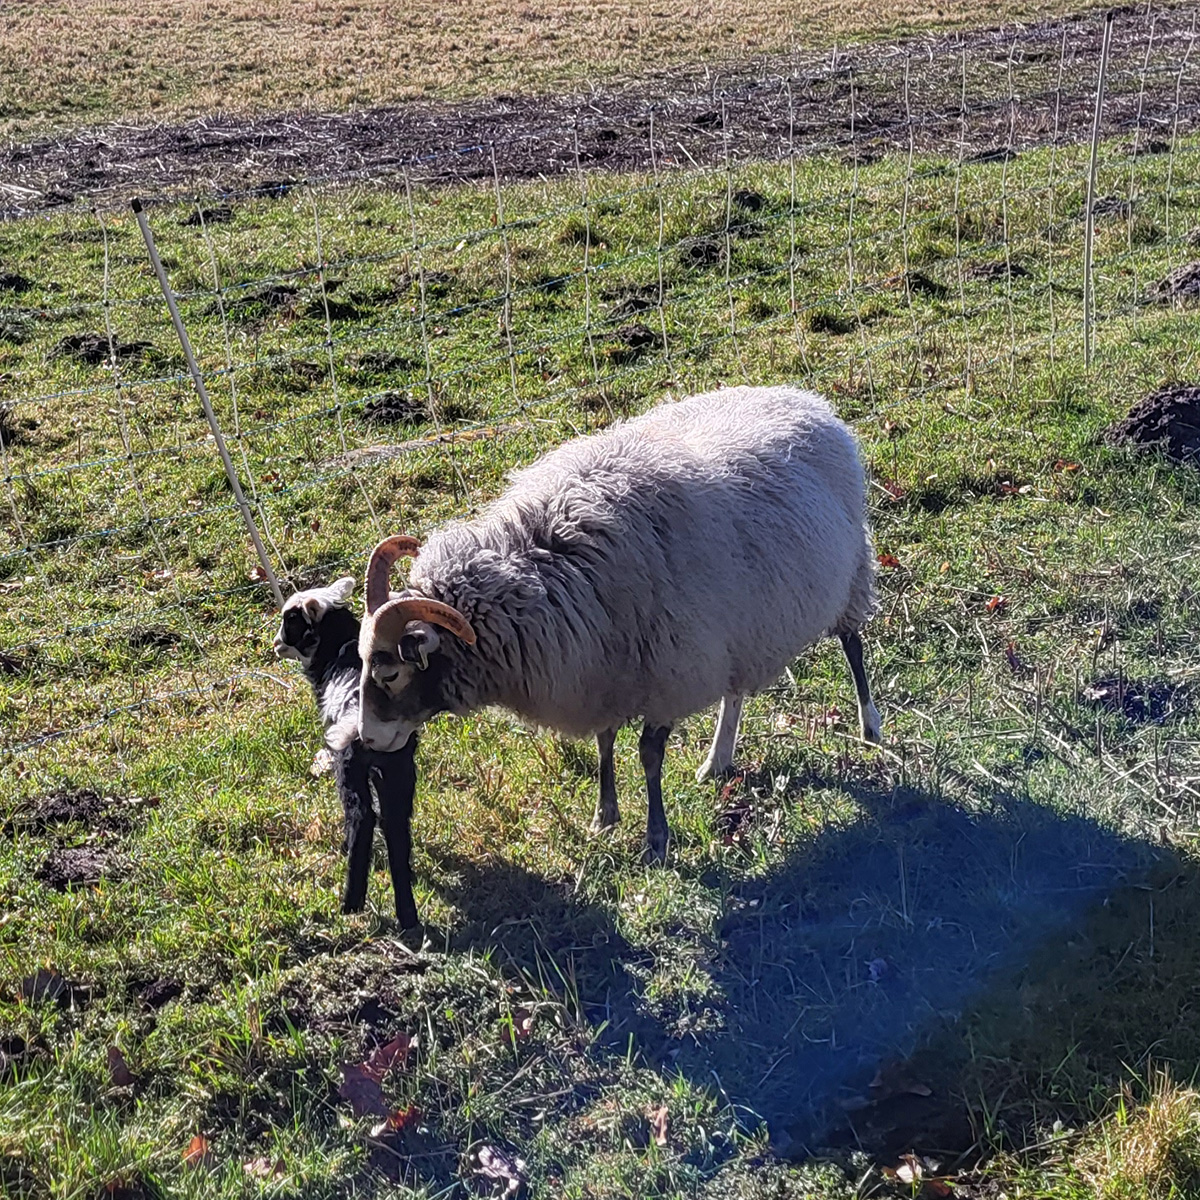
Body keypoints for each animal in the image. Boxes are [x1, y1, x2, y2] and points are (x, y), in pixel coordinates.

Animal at [350, 386, 878, 864]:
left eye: (390, 672)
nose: (367, 740)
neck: (547, 567)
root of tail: (805, 399)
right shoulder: (602, 673)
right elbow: (605, 744)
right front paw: (604, 816)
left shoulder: (667, 674)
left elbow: (648, 755)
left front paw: (656, 840)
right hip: (743, 629)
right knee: (735, 689)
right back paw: (718, 759)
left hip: (852, 572)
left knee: (852, 644)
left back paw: (870, 727)